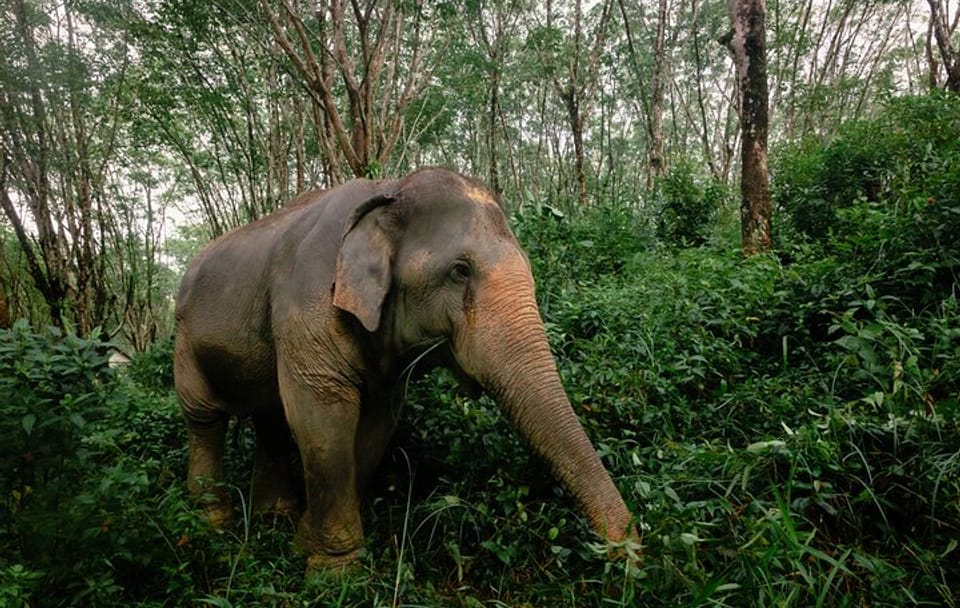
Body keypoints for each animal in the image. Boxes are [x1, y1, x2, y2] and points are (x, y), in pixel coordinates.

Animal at [174, 167, 636, 571]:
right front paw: (333, 571)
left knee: (268, 415)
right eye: (460, 271)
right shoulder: (306, 305)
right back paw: (210, 524)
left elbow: (377, 422)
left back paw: (273, 519)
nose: (628, 553)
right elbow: (322, 415)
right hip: (184, 338)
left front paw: (303, 542)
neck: (389, 189)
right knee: (205, 418)